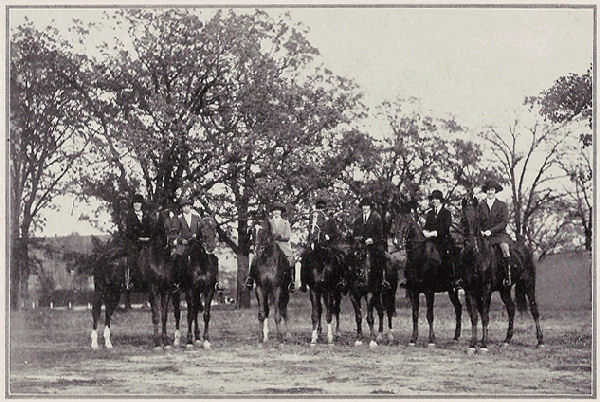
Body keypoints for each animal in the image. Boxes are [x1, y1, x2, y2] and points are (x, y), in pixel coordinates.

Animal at [184, 217, 221, 348]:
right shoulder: (190, 290)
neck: (201, 263)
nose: (211, 246)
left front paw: (206, 340)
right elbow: (190, 314)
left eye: (215, 228)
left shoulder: (208, 290)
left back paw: (198, 337)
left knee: (196, 311)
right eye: (202, 229)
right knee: (192, 312)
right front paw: (189, 341)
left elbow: (206, 315)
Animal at [394, 206, 464, 348]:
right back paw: (455, 337)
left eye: (406, 222)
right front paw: (413, 339)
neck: (420, 256)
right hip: (451, 291)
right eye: (395, 220)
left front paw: (431, 339)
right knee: (458, 307)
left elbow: (429, 315)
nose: (396, 242)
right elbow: (415, 314)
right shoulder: (413, 291)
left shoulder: (429, 291)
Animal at [460, 196, 544, 352]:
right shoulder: (469, 290)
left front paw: (484, 345)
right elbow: (474, 316)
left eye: (477, 218)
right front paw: (473, 344)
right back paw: (507, 340)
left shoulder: (486, 288)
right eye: (463, 218)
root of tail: (525, 250)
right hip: (504, 290)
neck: (476, 256)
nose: (470, 245)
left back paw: (540, 341)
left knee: (534, 309)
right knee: (511, 309)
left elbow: (485, 314)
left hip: (528, 284)